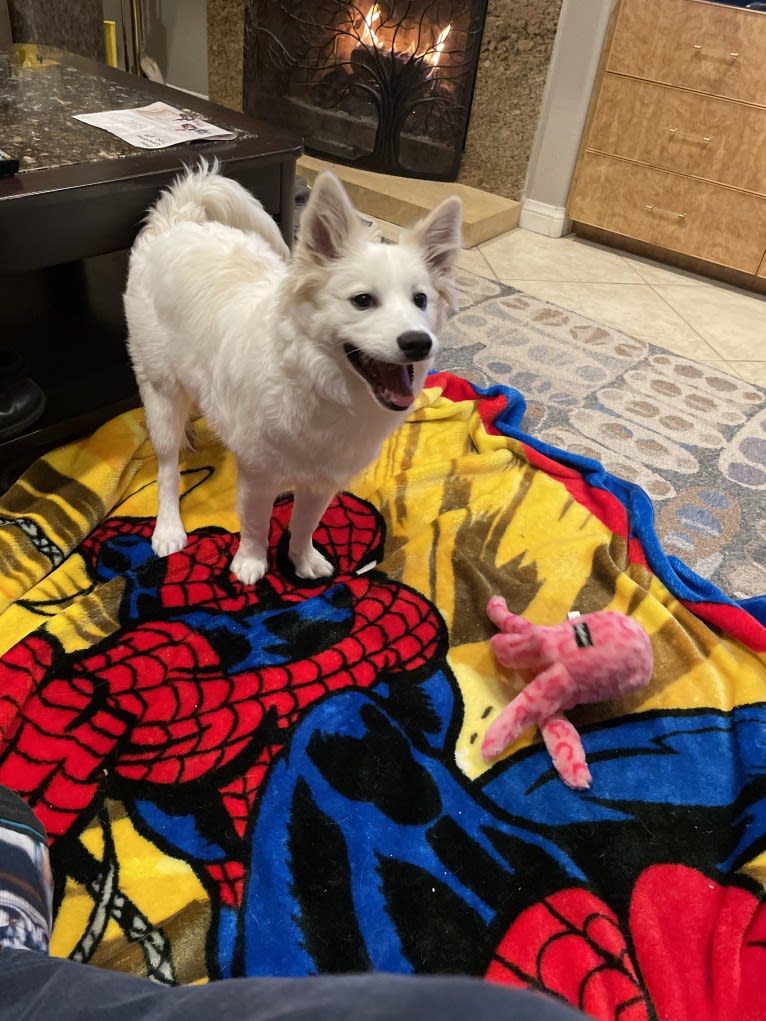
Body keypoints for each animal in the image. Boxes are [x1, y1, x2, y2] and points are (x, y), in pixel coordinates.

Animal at [124, 163, 461, 588]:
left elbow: (305, 524)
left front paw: (302, 560)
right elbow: (255, 525)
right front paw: (251, 563)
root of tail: (177, 221)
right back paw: (168, 528)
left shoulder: (322, 482)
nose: (419, 342)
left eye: (420, 300)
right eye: (362, 301)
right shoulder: (256, 477)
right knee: (167, 468)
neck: (319, 383)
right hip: (161, 391)